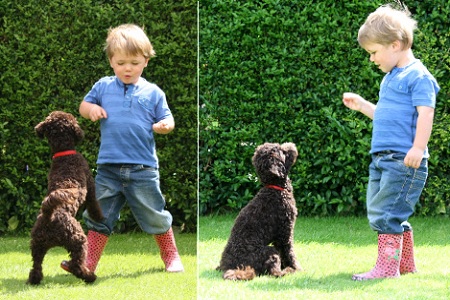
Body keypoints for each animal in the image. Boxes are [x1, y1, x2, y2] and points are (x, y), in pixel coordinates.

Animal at [27, 111, 103, 284]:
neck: (63, 154)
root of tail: (49, 216)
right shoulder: (90, 185)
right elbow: (94, 204)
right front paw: (99, 217)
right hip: (78, 239)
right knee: (76, 264)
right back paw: (89, 276)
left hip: (37, 244)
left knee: (36, 266)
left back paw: (34, 280)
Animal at [217, 142, 302, 280]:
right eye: (281, 151)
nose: (290, 144)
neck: (274, 188)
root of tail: (237, 266)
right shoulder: (284, 234)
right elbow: (289, 253)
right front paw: (297, 268)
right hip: (270, 251)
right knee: (275, 273)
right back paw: (288, 271)